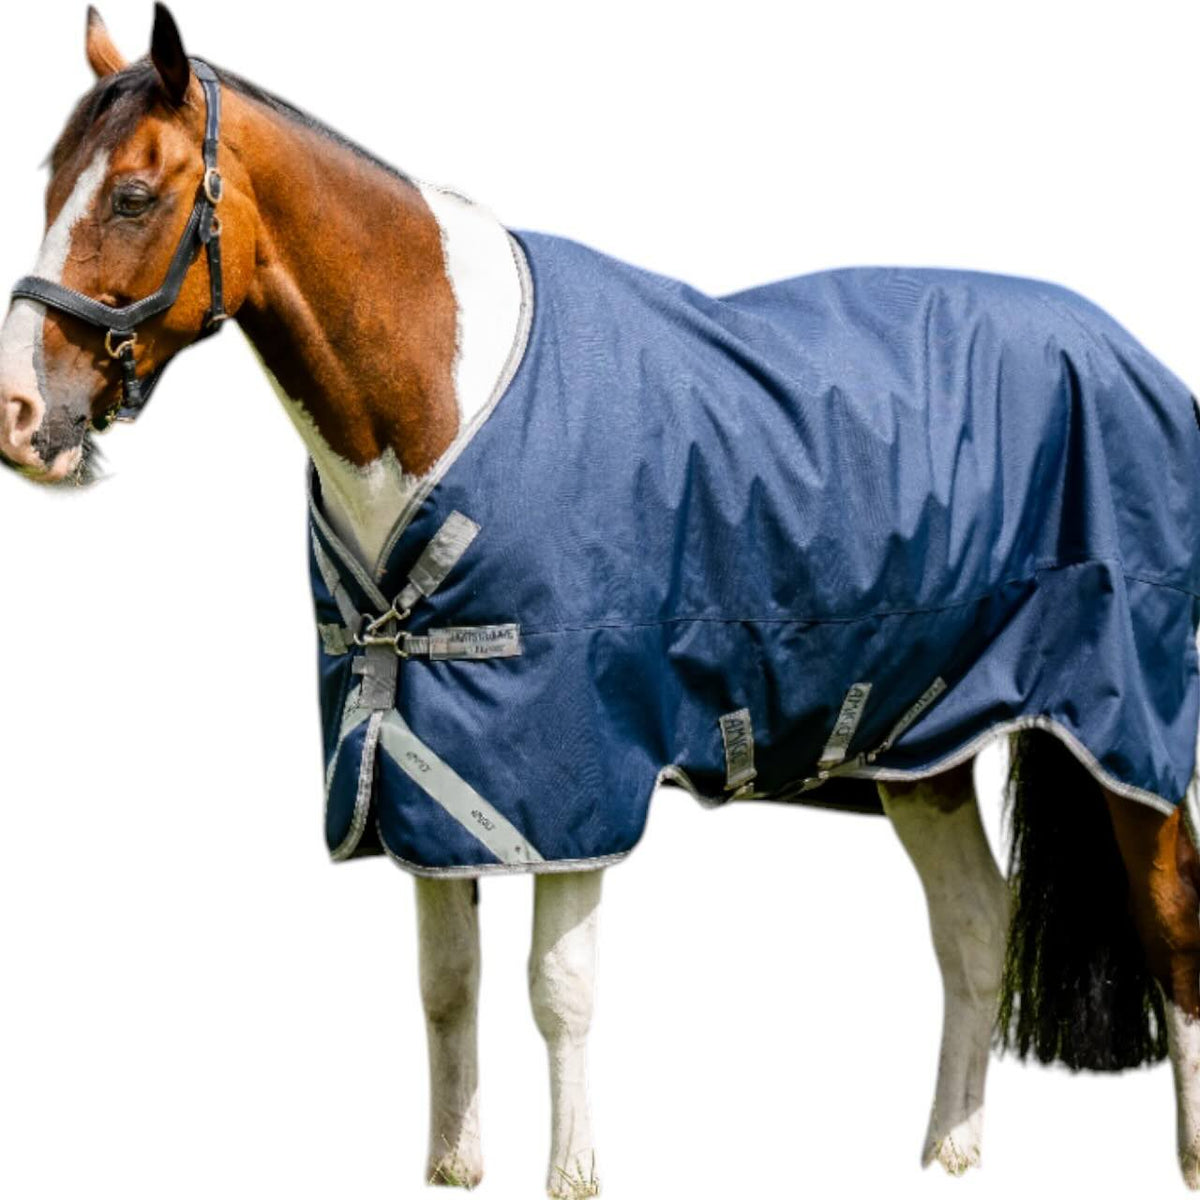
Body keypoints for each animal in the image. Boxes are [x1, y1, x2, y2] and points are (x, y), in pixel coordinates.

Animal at [2, 6, 1199, 1195]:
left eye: (133, 194)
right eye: (50, 181)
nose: (22, 417)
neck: (441, 390)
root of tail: (1133, 355)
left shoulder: (567, 774)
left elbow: (558, 990)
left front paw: (573, 1173)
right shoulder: (425, 772)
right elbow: (448, 982)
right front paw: (453, 1166)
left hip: (1128, 735)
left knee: (1172, 932)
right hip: (923, 743)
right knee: (974, 928)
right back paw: (950, 1148)